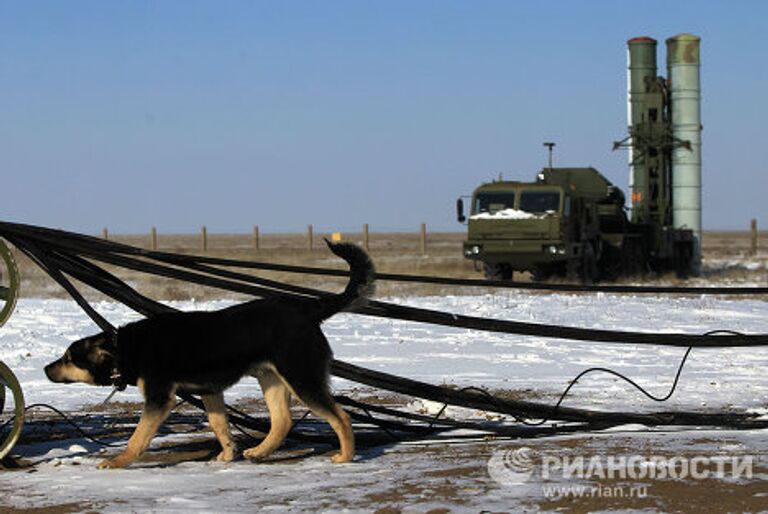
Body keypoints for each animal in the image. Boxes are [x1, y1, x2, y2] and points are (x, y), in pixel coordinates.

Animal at [45, 240, 376, 468]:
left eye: (68, 358)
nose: (46, 369)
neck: (125, 347)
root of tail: (309, 309)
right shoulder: (209, 390)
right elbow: (220, 425)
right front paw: (229, 454)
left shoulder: (159, 398)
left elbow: (138, 437)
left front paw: (117, 461)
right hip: (271, 378)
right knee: (282, 421)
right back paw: (260, 451)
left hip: (301, 376)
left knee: (341, 416)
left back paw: (346, 456)